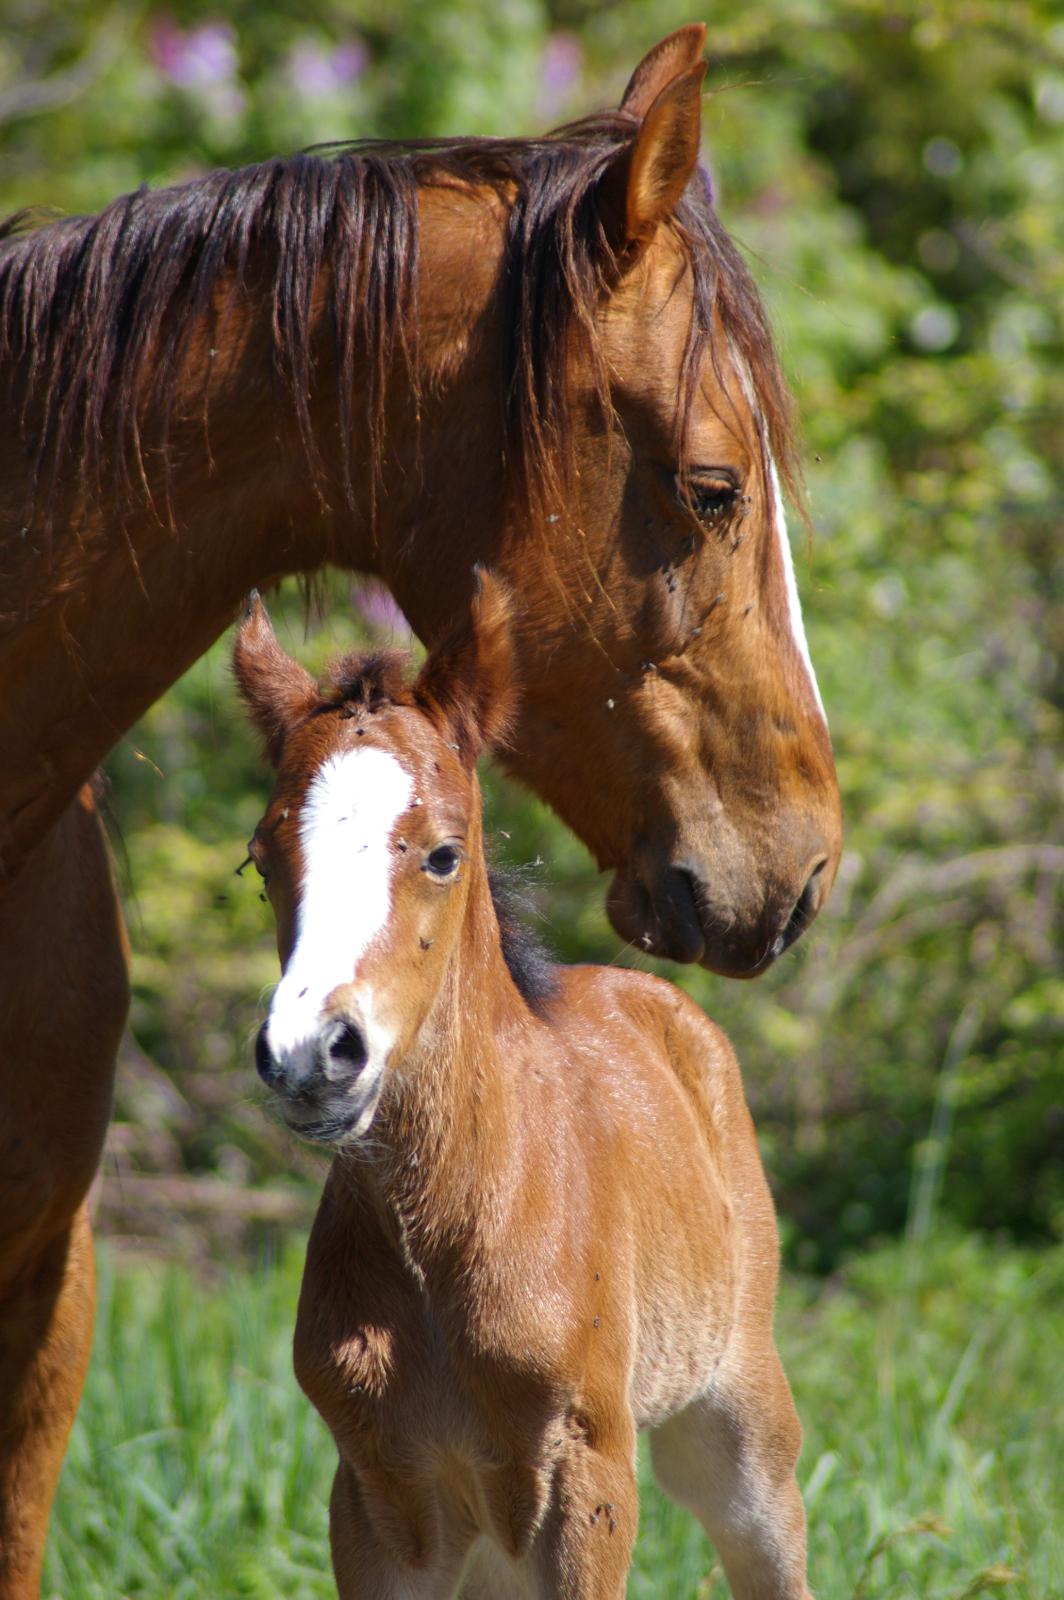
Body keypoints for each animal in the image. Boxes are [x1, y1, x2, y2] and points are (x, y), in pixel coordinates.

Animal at [234, 571, 812, 1600]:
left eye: (443, 852)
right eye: (262, 861)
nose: (309, 1053)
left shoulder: (587, 1477)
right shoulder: (377, 1494)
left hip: (735, 1416)